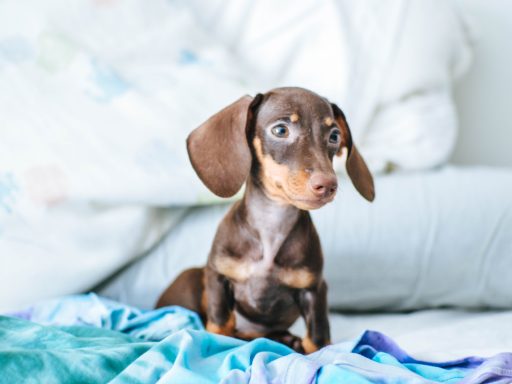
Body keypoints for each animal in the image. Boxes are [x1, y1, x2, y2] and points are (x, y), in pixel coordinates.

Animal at [155, 87, 372, 354]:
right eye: (280, 130)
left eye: (334, 136)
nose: (328, 185)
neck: (271, 223)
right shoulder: (217, 277)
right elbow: (220, 324)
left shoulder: (314, 289)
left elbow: (318, 338)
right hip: (191, 279)